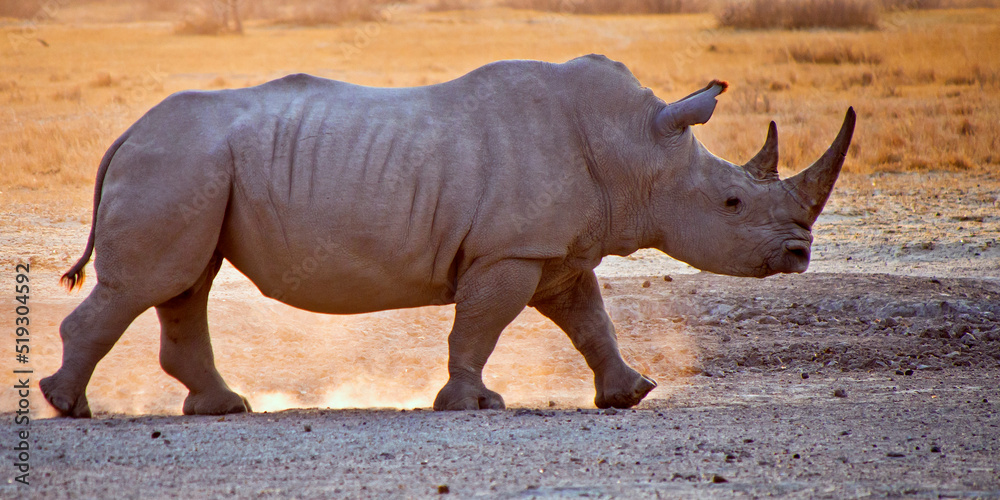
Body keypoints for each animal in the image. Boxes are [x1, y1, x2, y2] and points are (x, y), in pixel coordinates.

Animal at [40, 54, 854, 417]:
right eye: (732, 201)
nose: (799, 255)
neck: (635, 150)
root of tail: (126, 133)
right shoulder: (509, 249)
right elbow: (481, 325)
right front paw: (472, 404)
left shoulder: (555, 251)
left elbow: (590, 322)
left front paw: (630, 394)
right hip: (177, 160)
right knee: (152, 283)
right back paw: (68, 407)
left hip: (191, 164)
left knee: (185, 284)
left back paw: (222, 409)